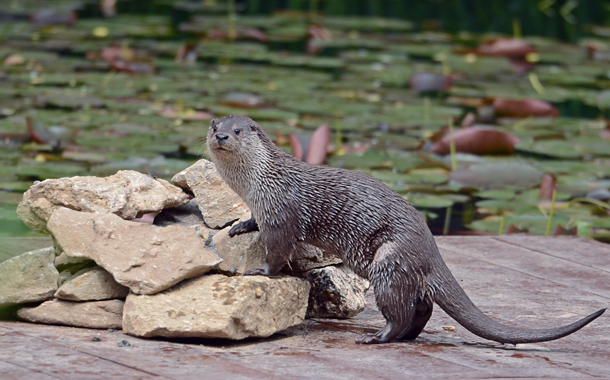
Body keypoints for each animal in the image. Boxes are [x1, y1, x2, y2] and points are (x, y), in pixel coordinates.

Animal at [208, 114, 604, 342]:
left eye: (237, 130)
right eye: (215, 126)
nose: (221, 137)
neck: (260, 181)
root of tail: (429, 246)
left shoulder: (282, 213)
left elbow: (278, 250)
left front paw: (261, 271)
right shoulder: (263, 206)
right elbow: (254, 222)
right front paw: (240, 226)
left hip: (389, 260)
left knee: (399, 311)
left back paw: (378, 337)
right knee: (422, 306)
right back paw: (407, 336)